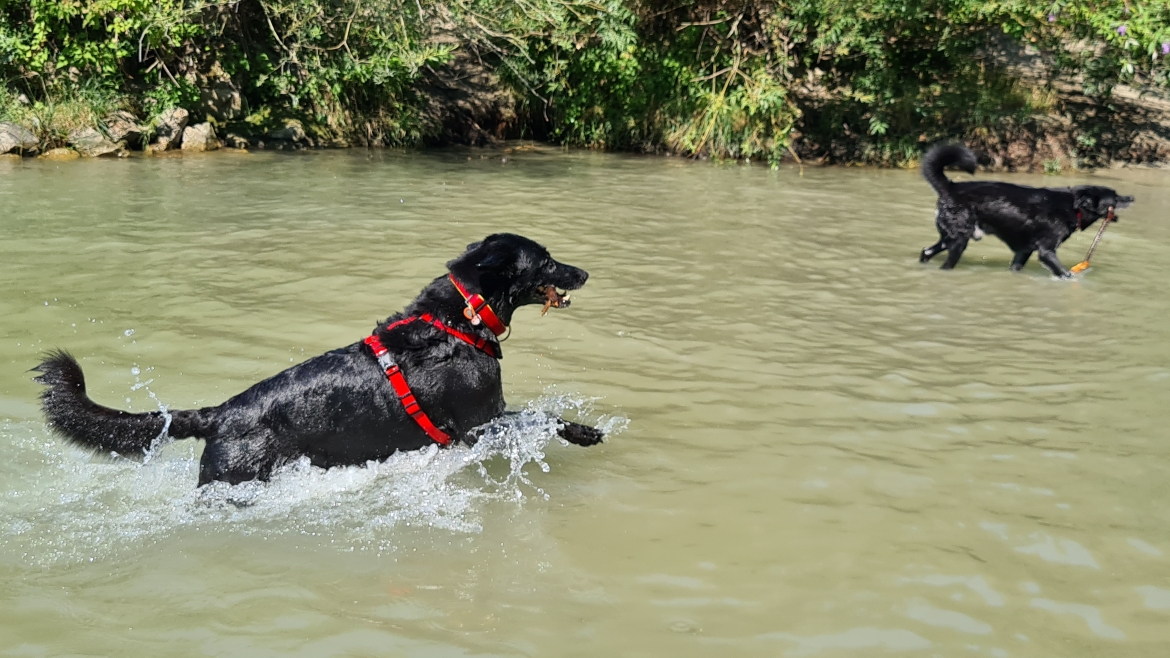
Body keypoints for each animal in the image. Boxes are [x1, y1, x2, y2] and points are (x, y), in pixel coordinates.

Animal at [34, 232, 603, 484]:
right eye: (547, 259)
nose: (584, 272)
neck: (460, 319)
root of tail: (220, 414)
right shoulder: (479, 423)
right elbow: (542, 416)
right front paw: (584, 432)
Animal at [912, 143, 1132, 276]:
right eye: (1115, 197)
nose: (1131, 197)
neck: (1073, 206)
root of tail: (950, 187)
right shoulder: (1046, 251)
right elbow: (1064, 273)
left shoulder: (1023, 252)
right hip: (958, 241)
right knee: (945, 262)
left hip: (948, 238)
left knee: (926, 251)